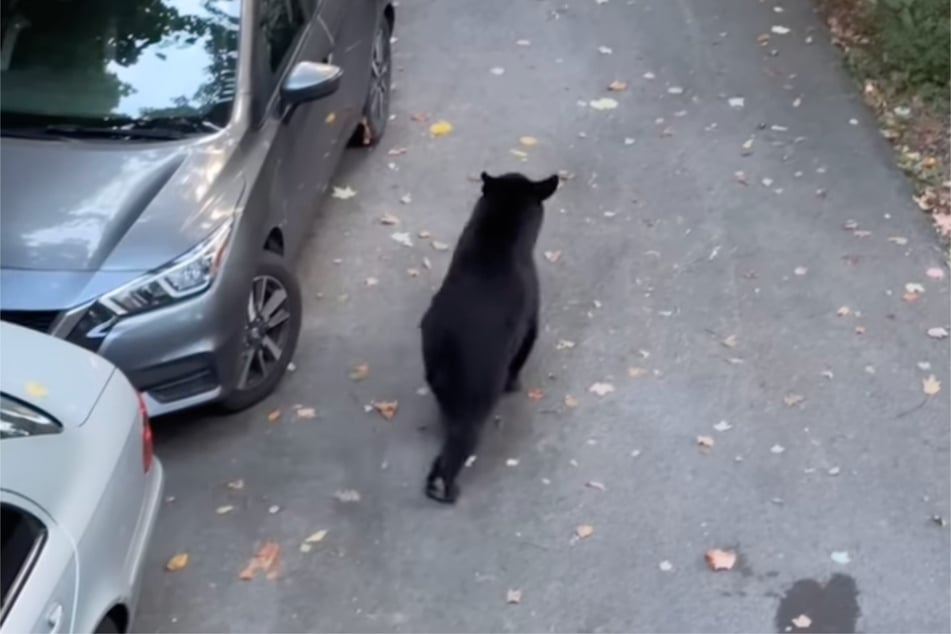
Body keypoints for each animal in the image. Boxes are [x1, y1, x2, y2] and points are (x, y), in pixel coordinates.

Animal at [422, 170, 556, 502]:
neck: (496, 234)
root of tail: (450, 343)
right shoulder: (530, 316)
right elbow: (524, 349)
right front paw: (515, 383)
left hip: (438, 374)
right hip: (478, 384)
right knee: (462, 437)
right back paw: (448, 488)